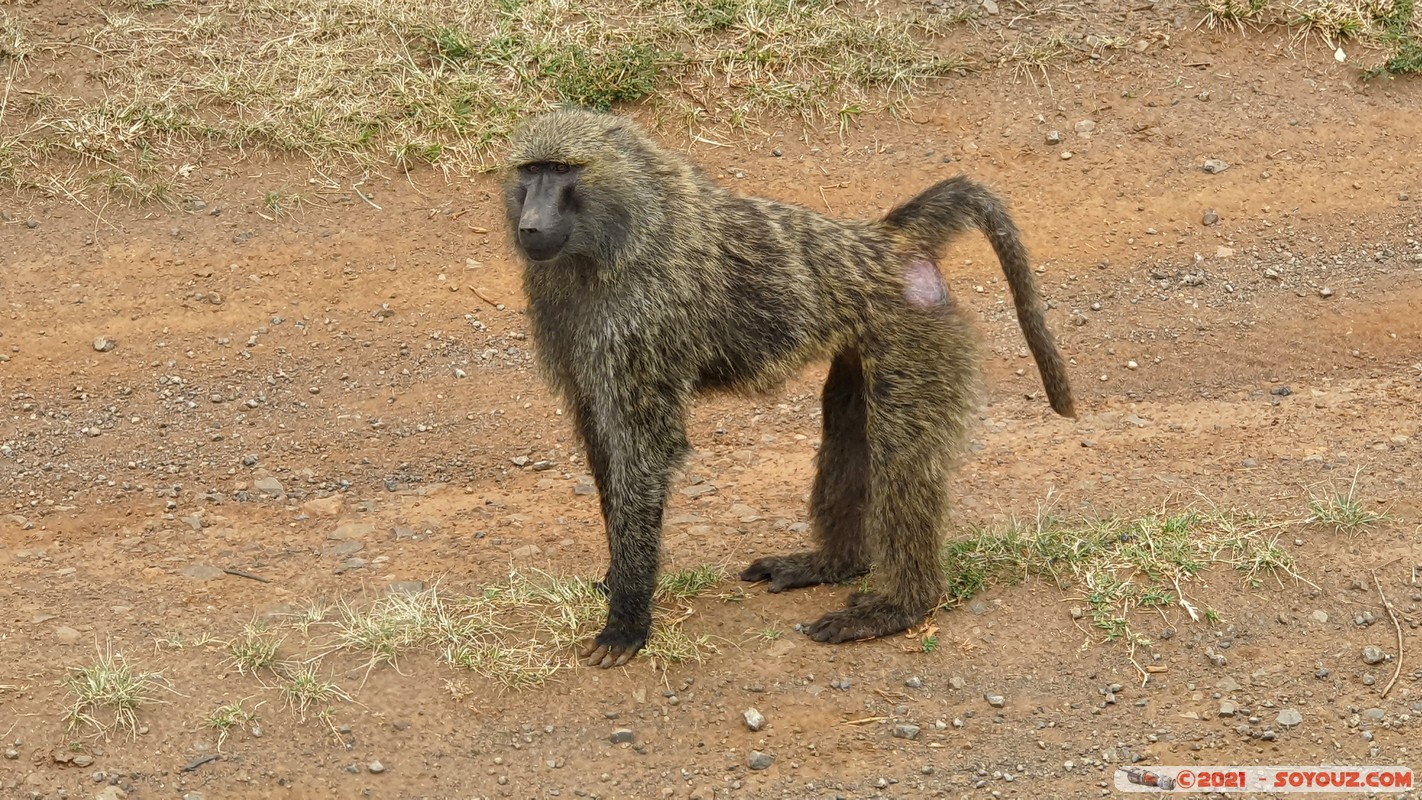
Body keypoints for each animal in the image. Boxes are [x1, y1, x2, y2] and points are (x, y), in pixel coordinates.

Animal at [501, 109, 1074, 669]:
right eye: (530, 171)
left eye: (562, 170)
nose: (531, 225)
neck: (621, 231)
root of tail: (883, 240)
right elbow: (602, 443)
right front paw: (616, 576)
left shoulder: (642, 319)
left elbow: (646, 454)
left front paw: (627, 618)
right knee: (849, 427)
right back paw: (833, 564)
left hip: (915, 332)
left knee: (901, 452)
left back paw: (900, 606)